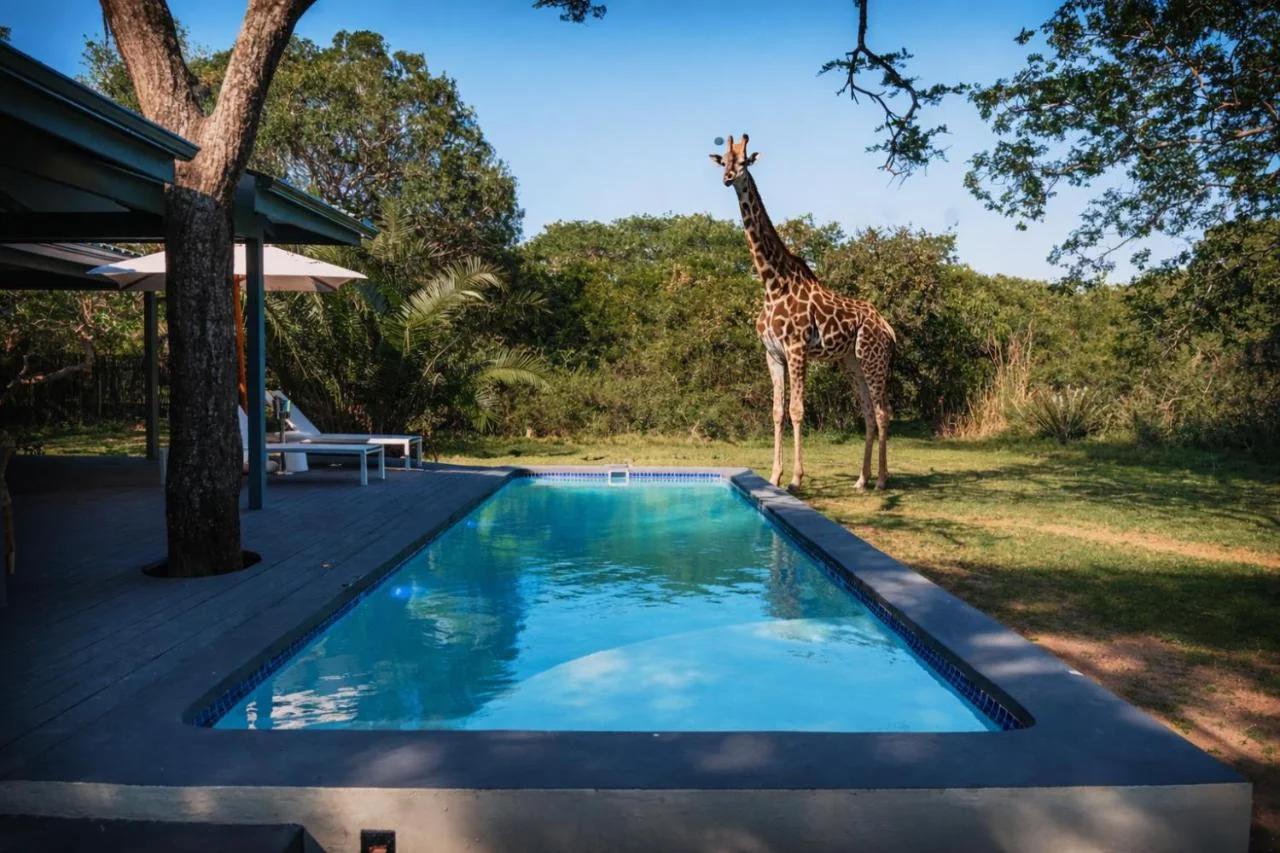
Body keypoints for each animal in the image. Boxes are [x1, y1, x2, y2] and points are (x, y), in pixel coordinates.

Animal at [711, 133, 896, 491]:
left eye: (744, 161)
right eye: (724, 160)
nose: (727, 178)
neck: (772, 284)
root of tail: (886, 326)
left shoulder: (797, 349)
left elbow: (797, 410)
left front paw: (796, 479)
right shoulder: (772, 353)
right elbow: (777, 412)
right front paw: (774, 476)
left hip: (872, 356)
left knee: (883, 411)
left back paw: (881, 481)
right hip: (851, 361)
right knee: (868, 412)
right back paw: (861, 479)